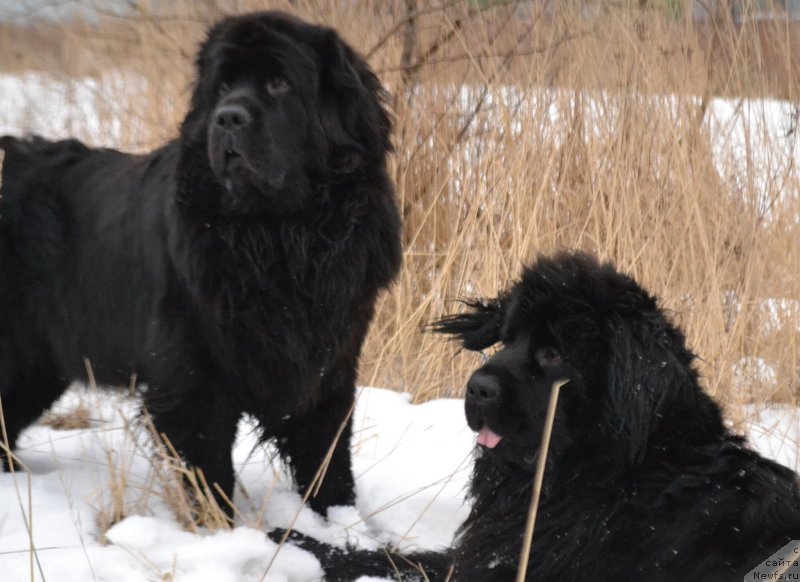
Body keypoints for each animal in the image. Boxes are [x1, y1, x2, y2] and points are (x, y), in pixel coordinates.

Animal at [0, 11, 400, 516]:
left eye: (278, 83)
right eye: (223, 85)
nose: (228, 117)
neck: (278, 236)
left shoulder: (328, 363)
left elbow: (327, 456)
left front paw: (340, 520)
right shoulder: (192, 380)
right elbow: (208, 468)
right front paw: (218, 525)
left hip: (36, 365)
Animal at [274, 254, 800, 582]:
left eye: (552, 354)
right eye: (507, 337)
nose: (477, 388)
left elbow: (409, 563)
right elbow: (401, 554)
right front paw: (296, 538)